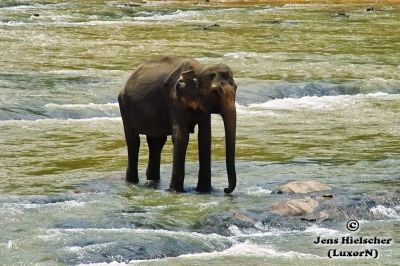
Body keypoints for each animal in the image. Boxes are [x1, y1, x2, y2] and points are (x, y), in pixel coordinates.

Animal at [119, 55, 238, 193]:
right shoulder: (174, 100)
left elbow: (205, 138)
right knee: (133, 141)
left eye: (236, 88)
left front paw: (204, 190)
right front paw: (175, 191)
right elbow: (181, 137)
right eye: (215, 92)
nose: (225, 189)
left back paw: (152, 181)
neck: (199, 69)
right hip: (124, 104)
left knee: (156, 142)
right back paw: (132, 182)